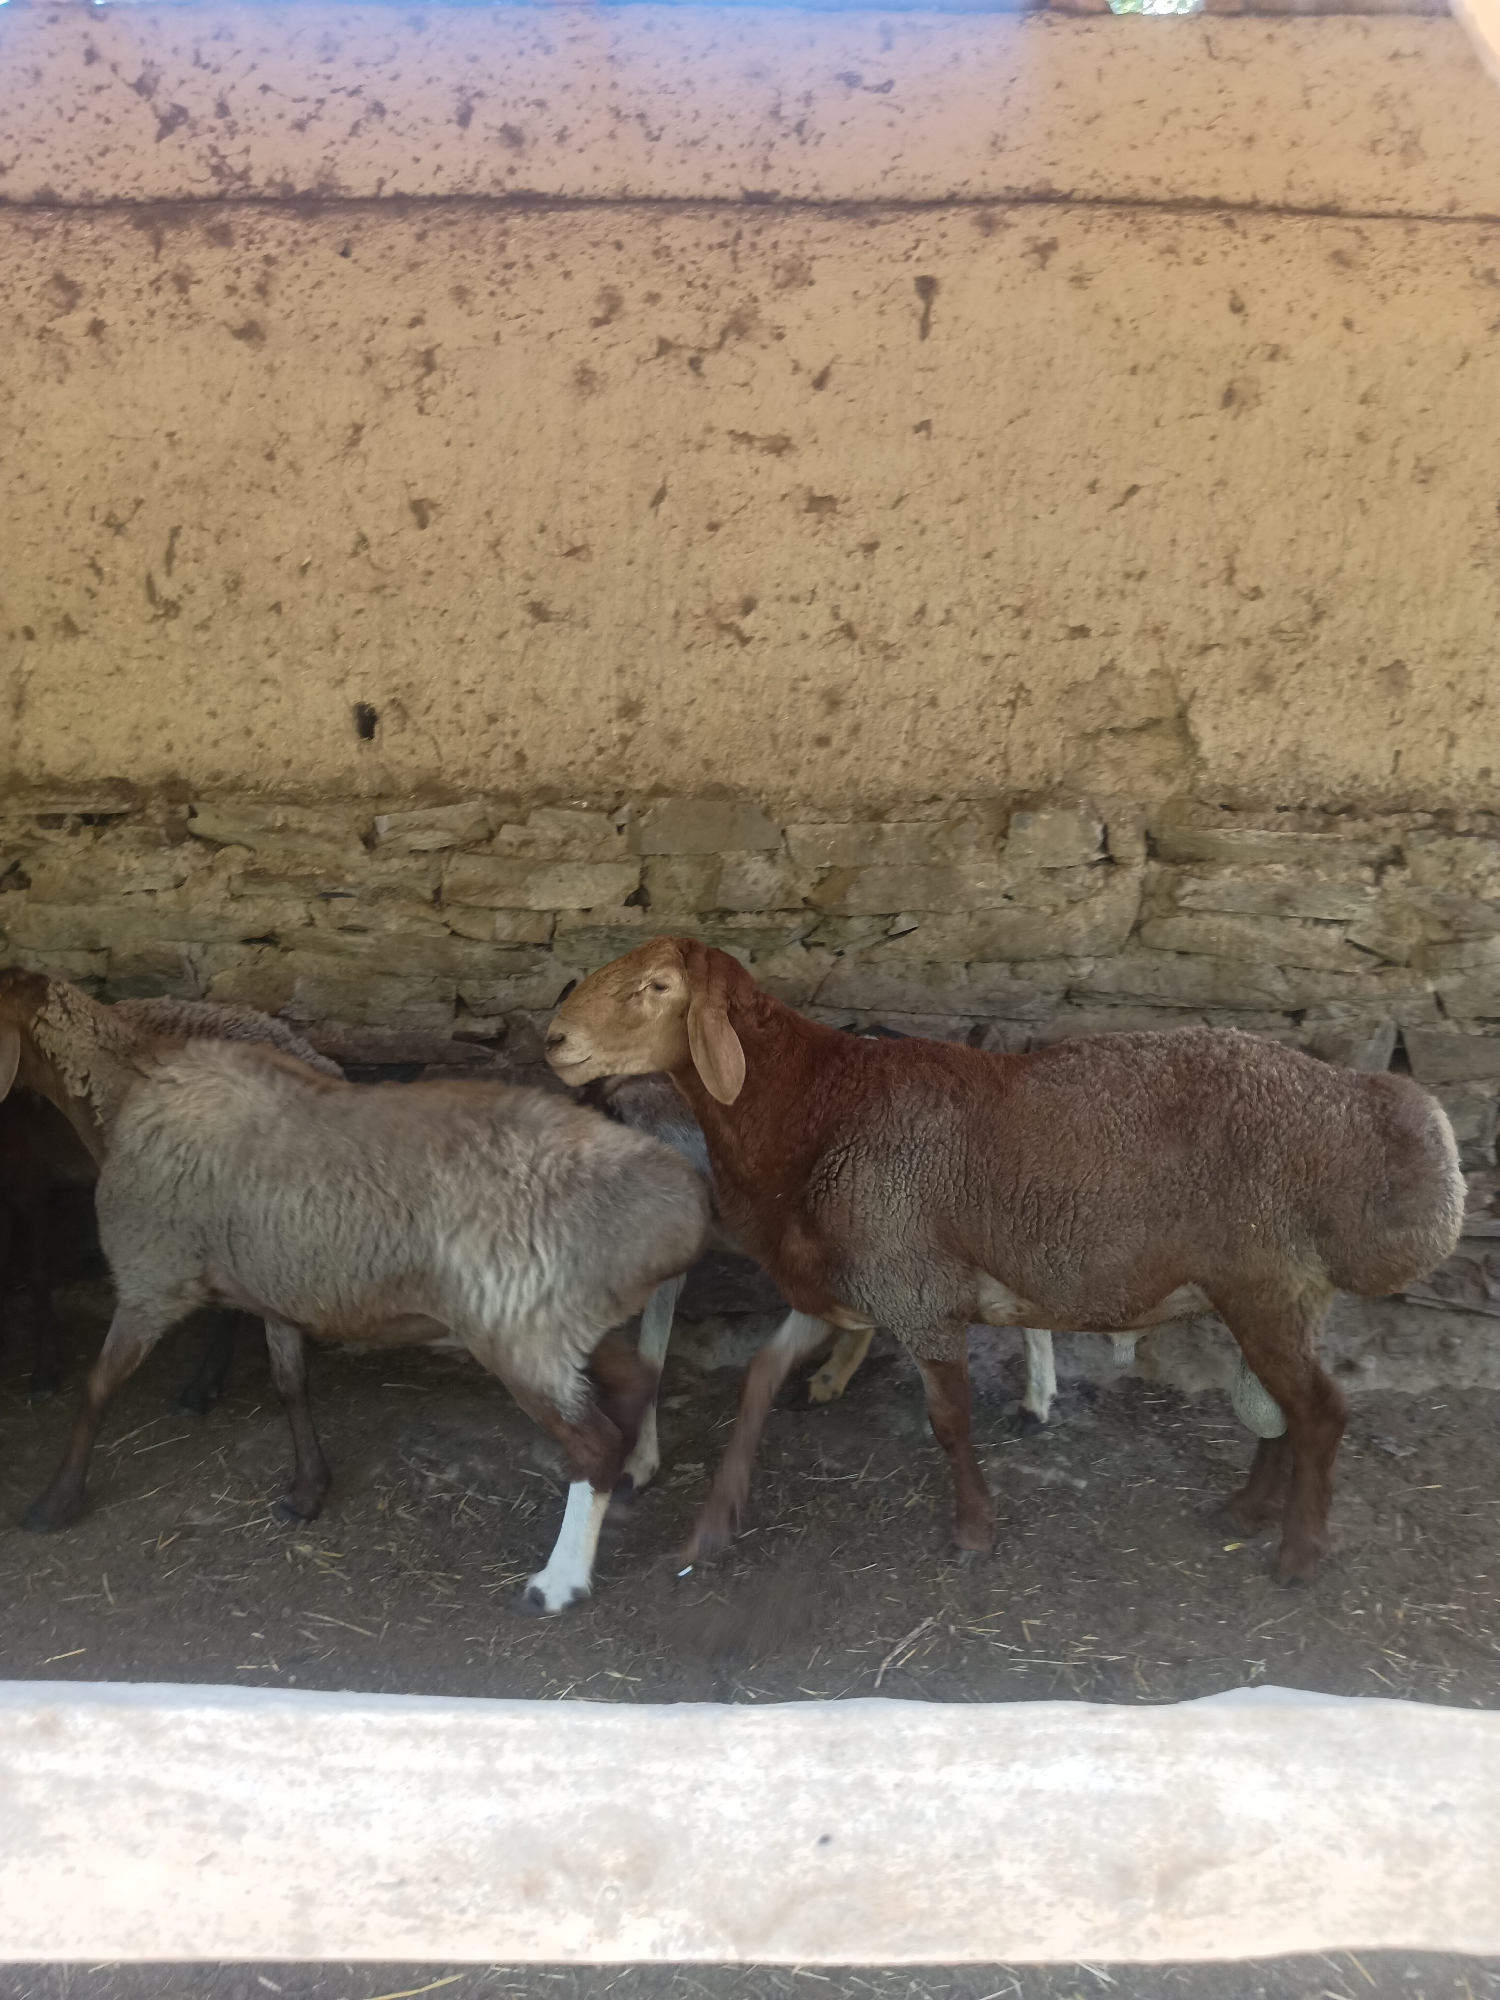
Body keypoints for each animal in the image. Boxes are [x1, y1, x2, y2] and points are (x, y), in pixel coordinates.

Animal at [5, 1008, 710, 1613]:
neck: (126, 1092)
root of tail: (676, 1207)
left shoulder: (151, 1277)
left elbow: (98, 1387)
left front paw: (56, 1500)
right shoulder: (275, 1285)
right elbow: (290, 1384)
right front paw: (307, 1490)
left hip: (520, 1330)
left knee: (594, 1443)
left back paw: (560, 1581)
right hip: (561, 1321)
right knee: (635, 1386)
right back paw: (626, 1487)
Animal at [545, 937, 1465, 1585]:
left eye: (657, 988)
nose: (554, 1039)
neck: (813, 1111)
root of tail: (1388, 1113)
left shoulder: (917, 1289)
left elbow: (949, 1420)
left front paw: (974, 1531)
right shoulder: (847, 1284)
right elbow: (758, 1384)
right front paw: (713, 1525)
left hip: (1269, 1281)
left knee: (1321, 1412)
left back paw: (1297, 1554)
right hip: (1268, 1288)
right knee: (1287, 1411)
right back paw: (1246, 1512)